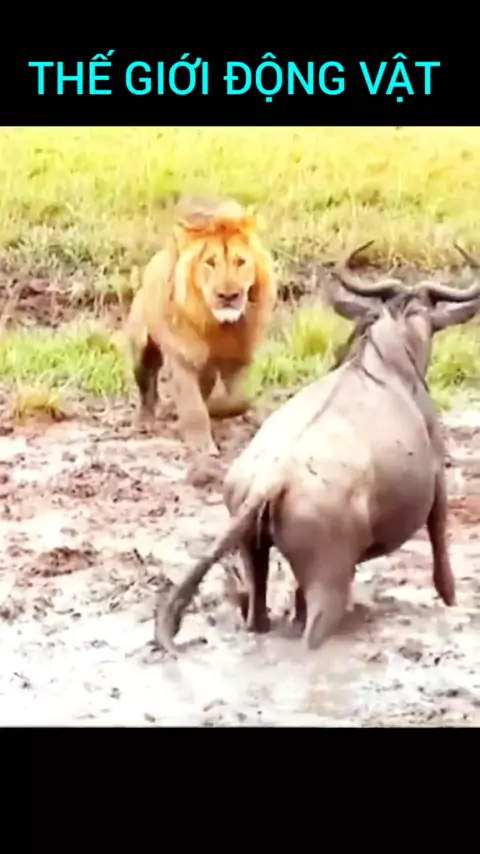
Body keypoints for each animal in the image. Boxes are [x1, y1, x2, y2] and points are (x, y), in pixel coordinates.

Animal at [123, 195, 277, 455]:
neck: (219, 326)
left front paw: (217, 410)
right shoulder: (182, 356)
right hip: (141, 350)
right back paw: (145, 422)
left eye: (240, 262)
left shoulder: (240, 358)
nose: (229, 296)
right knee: (148, 387)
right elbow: (193, 408)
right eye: (210, 263)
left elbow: (238, 400)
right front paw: (202, 447)